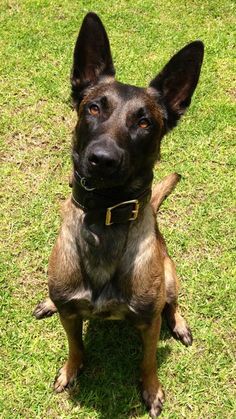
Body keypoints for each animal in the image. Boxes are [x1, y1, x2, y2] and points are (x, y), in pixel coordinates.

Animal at [33, 11, 205, 418]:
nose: (102, 159)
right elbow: (75, 345)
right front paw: (71, 369)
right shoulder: (70, 313)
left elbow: (148, 360)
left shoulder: (147, 321)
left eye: (145, 122)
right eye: (94, 108)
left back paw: (179, 323)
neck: (104, 218)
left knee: (172, 304)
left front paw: (151, 389)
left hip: (170, 276)